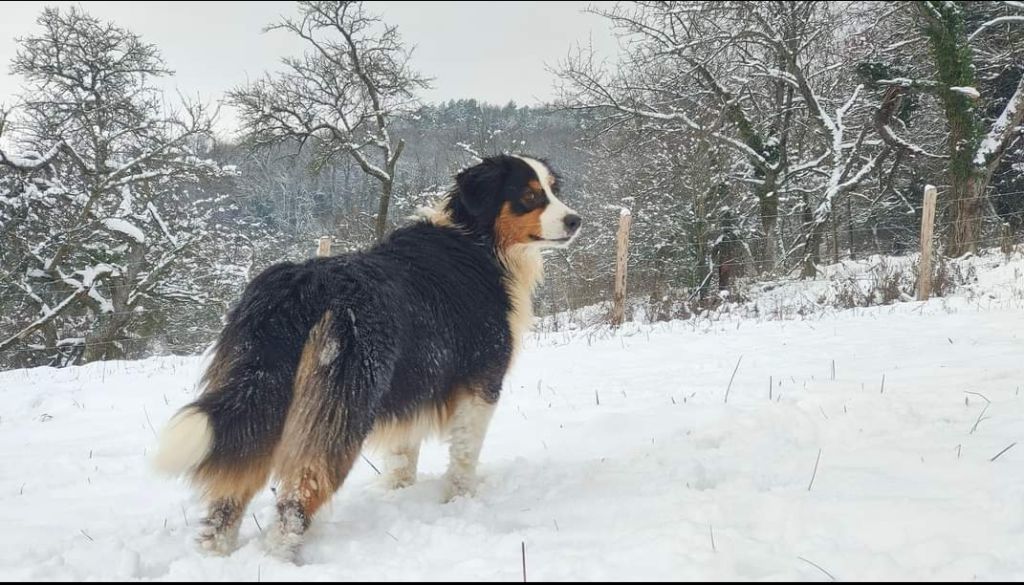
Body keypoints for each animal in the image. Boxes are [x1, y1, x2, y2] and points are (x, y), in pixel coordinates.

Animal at [154, 155, 581, 560]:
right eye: (529, 196)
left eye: (553, 188)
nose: (575, 220)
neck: (479, 240)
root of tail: (302, 287)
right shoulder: (481, 383)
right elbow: (463, 454)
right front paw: (460, 499)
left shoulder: (415, 380)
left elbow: (403, 455)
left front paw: (397, 493)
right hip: (343, 407)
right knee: (297, 497)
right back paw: (281, 557)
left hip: (259, 399)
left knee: (228, 498)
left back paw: (214, 556)